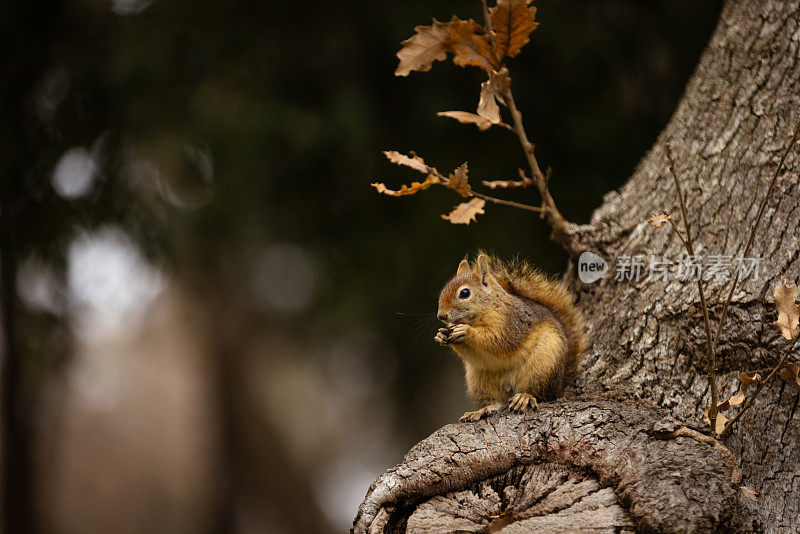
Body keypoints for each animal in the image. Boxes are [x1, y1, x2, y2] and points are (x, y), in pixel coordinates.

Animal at [438, 253, 588, 426]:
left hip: (544, 366)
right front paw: (441, 335)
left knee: (541, 394)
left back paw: (525, 397)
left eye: (464, 293)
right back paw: (481, 410)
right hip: (479, 380)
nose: (441, 316)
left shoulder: (512, 323)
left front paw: (466, 331)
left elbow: (499, 341)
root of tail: (561, 383)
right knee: (497, 401)